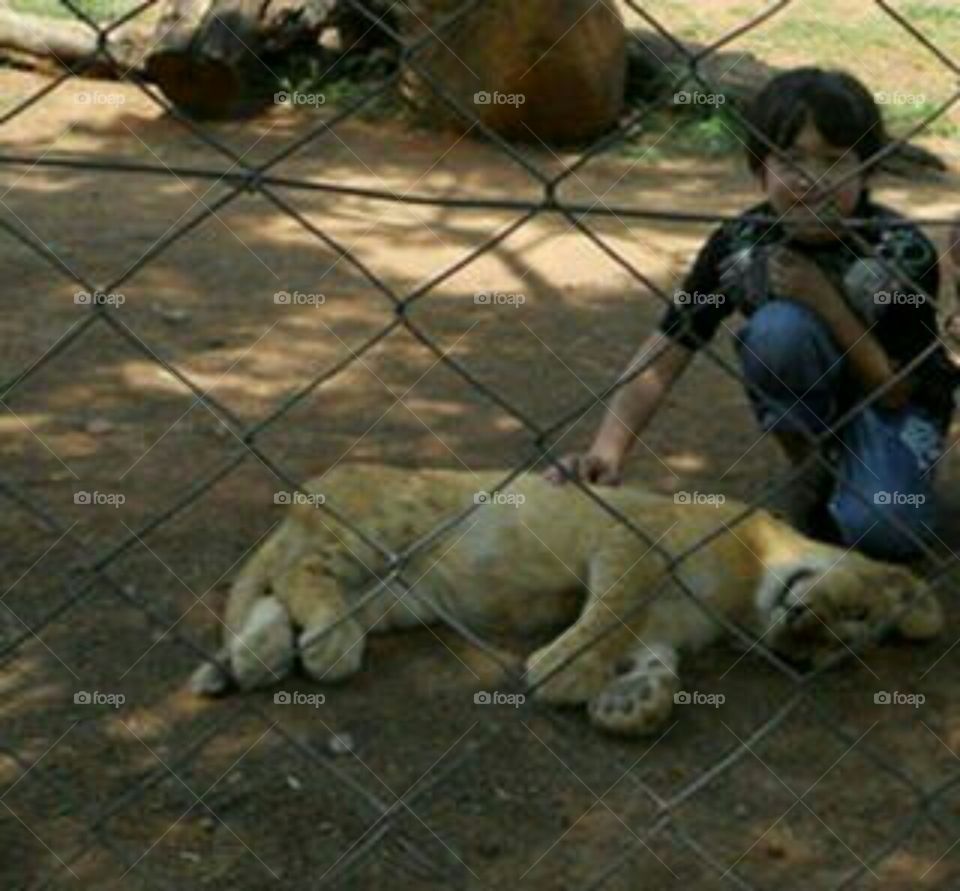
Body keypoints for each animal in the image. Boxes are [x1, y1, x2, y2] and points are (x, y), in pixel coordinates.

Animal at [189, 465, 944, 736]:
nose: (799, 636)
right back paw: (324, 643)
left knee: (281, 589)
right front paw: (563, 670)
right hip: (391, 524)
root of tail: (315, 487)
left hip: (397, 593)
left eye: (830, 650)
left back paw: (261, 656)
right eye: (854, 616)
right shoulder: (634, 537)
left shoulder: (664, 628)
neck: (747, 590)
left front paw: (632, 705)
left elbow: (657, 665)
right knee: (301, 570)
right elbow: (609, 609)